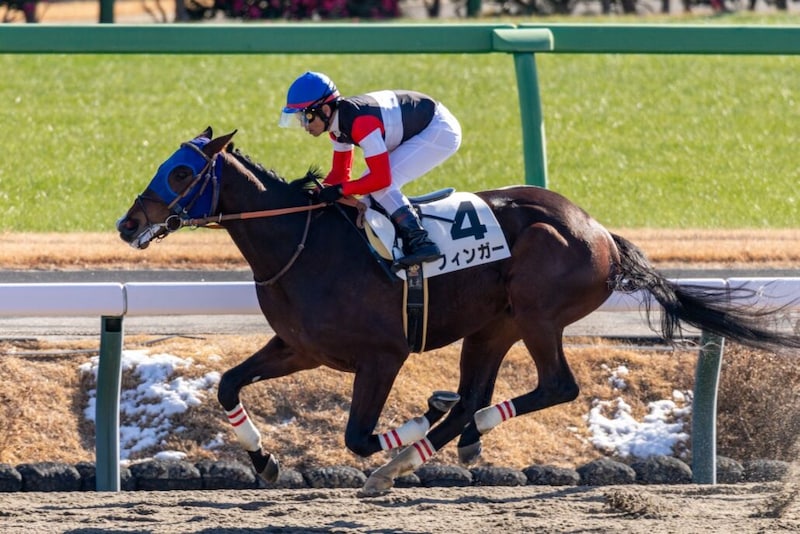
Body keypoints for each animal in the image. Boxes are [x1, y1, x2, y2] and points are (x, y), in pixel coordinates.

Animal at [117, 127, 800, 495]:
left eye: (182, 173)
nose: (127, 224)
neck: (301, 243)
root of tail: (601, 231)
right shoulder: (301, 347)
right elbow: (230, 384)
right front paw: (263, 461)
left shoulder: (382, 354)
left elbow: (357, 435)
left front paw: (414, 426)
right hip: (493, 326)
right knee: (477, 393)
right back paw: (444, 436)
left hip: (537, 312)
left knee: (553, 386)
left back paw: (426, 446)